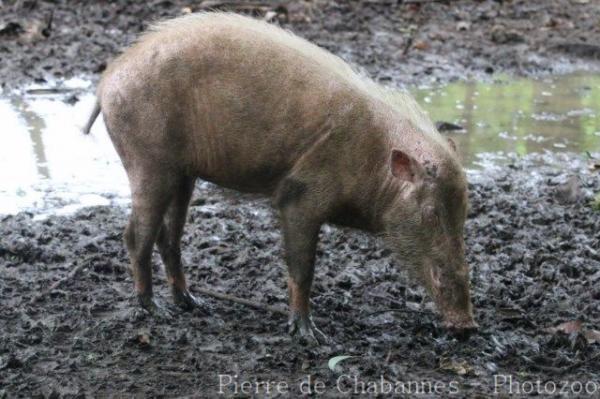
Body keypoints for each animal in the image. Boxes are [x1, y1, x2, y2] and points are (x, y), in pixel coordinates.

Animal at [84, 10, 478, 342]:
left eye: (464, 211)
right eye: (431, 212)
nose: (467, 327)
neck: (373, 162)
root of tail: (106, 82)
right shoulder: (299, 197)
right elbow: (303, 268)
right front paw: (310, 336)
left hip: (183, 175)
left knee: (170, 237)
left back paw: (193, 303)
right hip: (148, 161)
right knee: (135, 236)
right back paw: (155, 310)